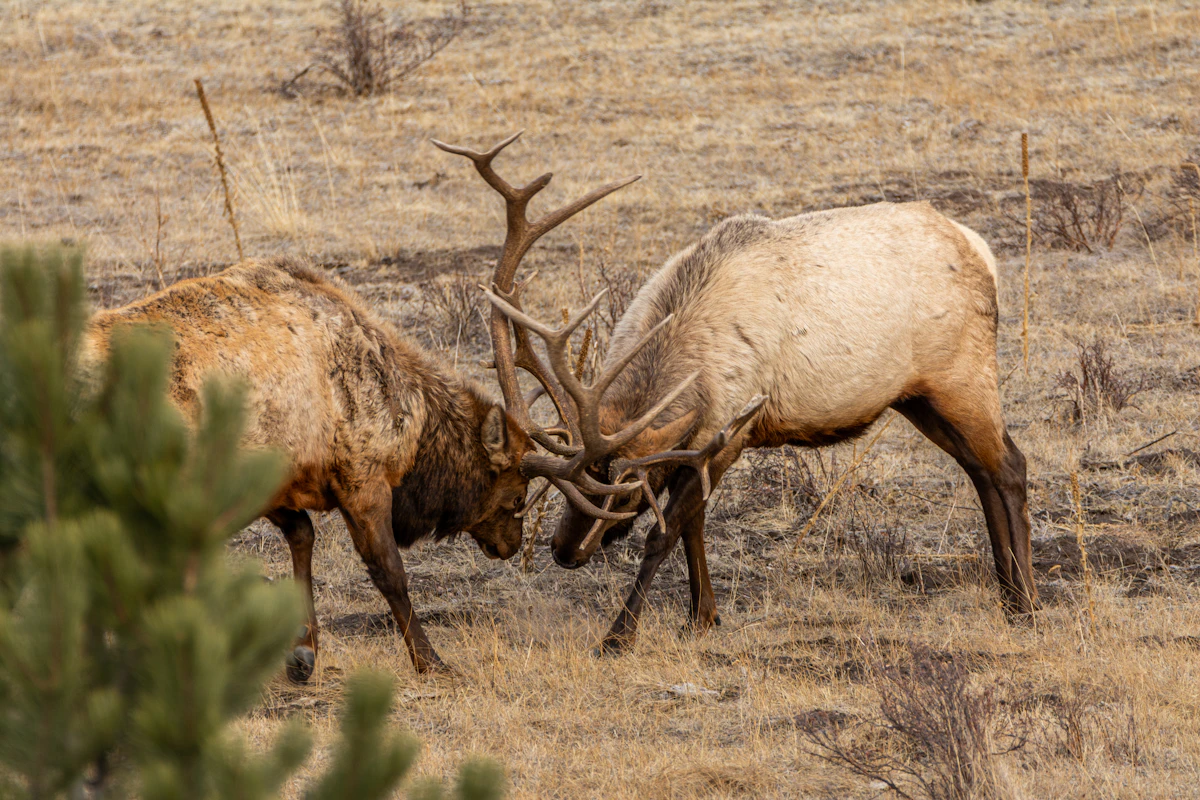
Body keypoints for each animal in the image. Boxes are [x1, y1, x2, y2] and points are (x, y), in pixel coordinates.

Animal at [81, 136, 686, 680]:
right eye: (516, 495)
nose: (510, 546)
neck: (409, 422)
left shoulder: (282, 477)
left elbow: (302, 538)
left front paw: (304, 651)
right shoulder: (362, 473)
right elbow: (388, 572)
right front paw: (431, 661)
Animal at [436, 136, 1038, 655]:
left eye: (625, 494)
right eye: (563, 494)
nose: (563, 551)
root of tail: (982, 250)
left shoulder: (732, 430)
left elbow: (665, 533)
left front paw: (619, 635)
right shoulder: (699, 444)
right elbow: (693, 526)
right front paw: (702, 615)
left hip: (962, 372)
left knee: (1009, 464)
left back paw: (1027, 602)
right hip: (916, 396)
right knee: (979, 469)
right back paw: (1009, 594)